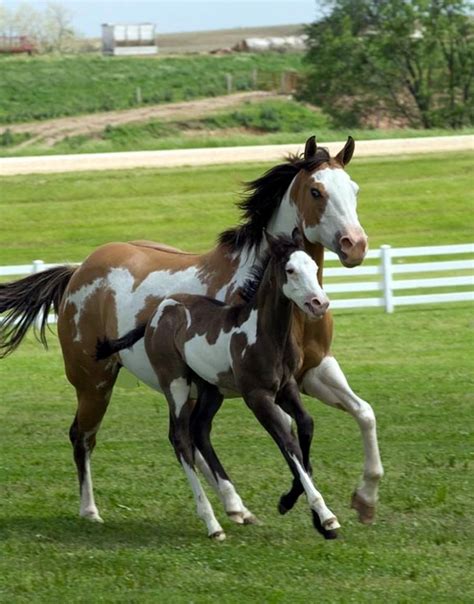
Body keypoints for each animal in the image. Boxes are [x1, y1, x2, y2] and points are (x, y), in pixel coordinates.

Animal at [95, 229, 336, 540]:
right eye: (290, 270)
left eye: (314, 266)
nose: (320, 303)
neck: (265, 334)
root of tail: (157, 313)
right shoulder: (257, 396)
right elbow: (286, 440)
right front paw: (326, 517)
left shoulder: (286, 388)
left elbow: (305, 426)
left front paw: (291, 503)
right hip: (177, 385)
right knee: (181, 439)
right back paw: (212, 524)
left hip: (211, 390)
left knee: (200, 430)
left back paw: (234, 507)